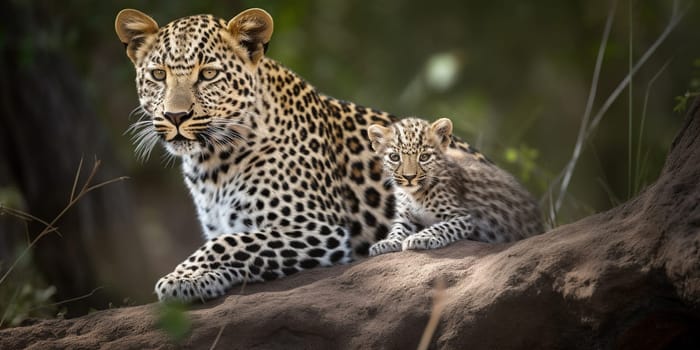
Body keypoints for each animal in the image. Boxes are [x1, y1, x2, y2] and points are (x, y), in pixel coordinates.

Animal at [116, 7, 486, 300]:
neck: (212, 162)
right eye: (158, 75)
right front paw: (202, 277)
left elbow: (231, 243)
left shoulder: (318, 228)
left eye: (208, 74)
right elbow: (235, 242)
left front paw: (181, 278)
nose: (175, 116)